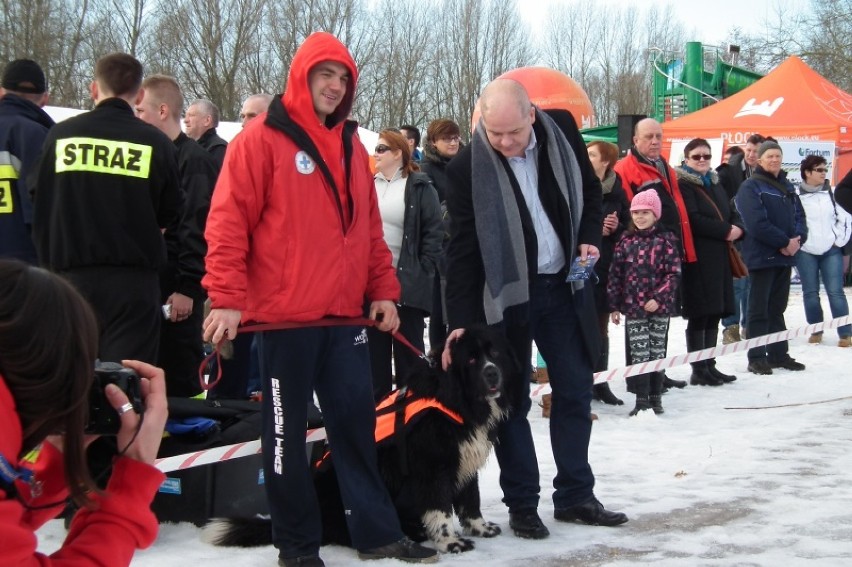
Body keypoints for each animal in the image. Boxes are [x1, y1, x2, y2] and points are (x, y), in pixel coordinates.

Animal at [205, 326, 520, 552]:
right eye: (471, 359)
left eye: (495, 354)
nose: (492, 374)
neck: (456, 398)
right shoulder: (432, 466)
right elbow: (440, 506)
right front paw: (451, 541)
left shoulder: (465, 458)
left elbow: (469, 500)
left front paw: (480, 528)